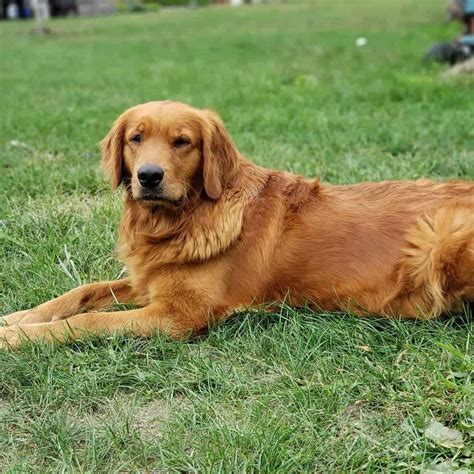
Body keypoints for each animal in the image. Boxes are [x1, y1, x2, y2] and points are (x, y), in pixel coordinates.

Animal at [0, 101, 474, 348]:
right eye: (136, 138)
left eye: (182, 142)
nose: (148, 177)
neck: (179, 220)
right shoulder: (151, 280)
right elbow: (81, 292)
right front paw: (18, 317)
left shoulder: (178, 315)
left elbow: (89, 321)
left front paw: (16, 337)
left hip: (439, 235)